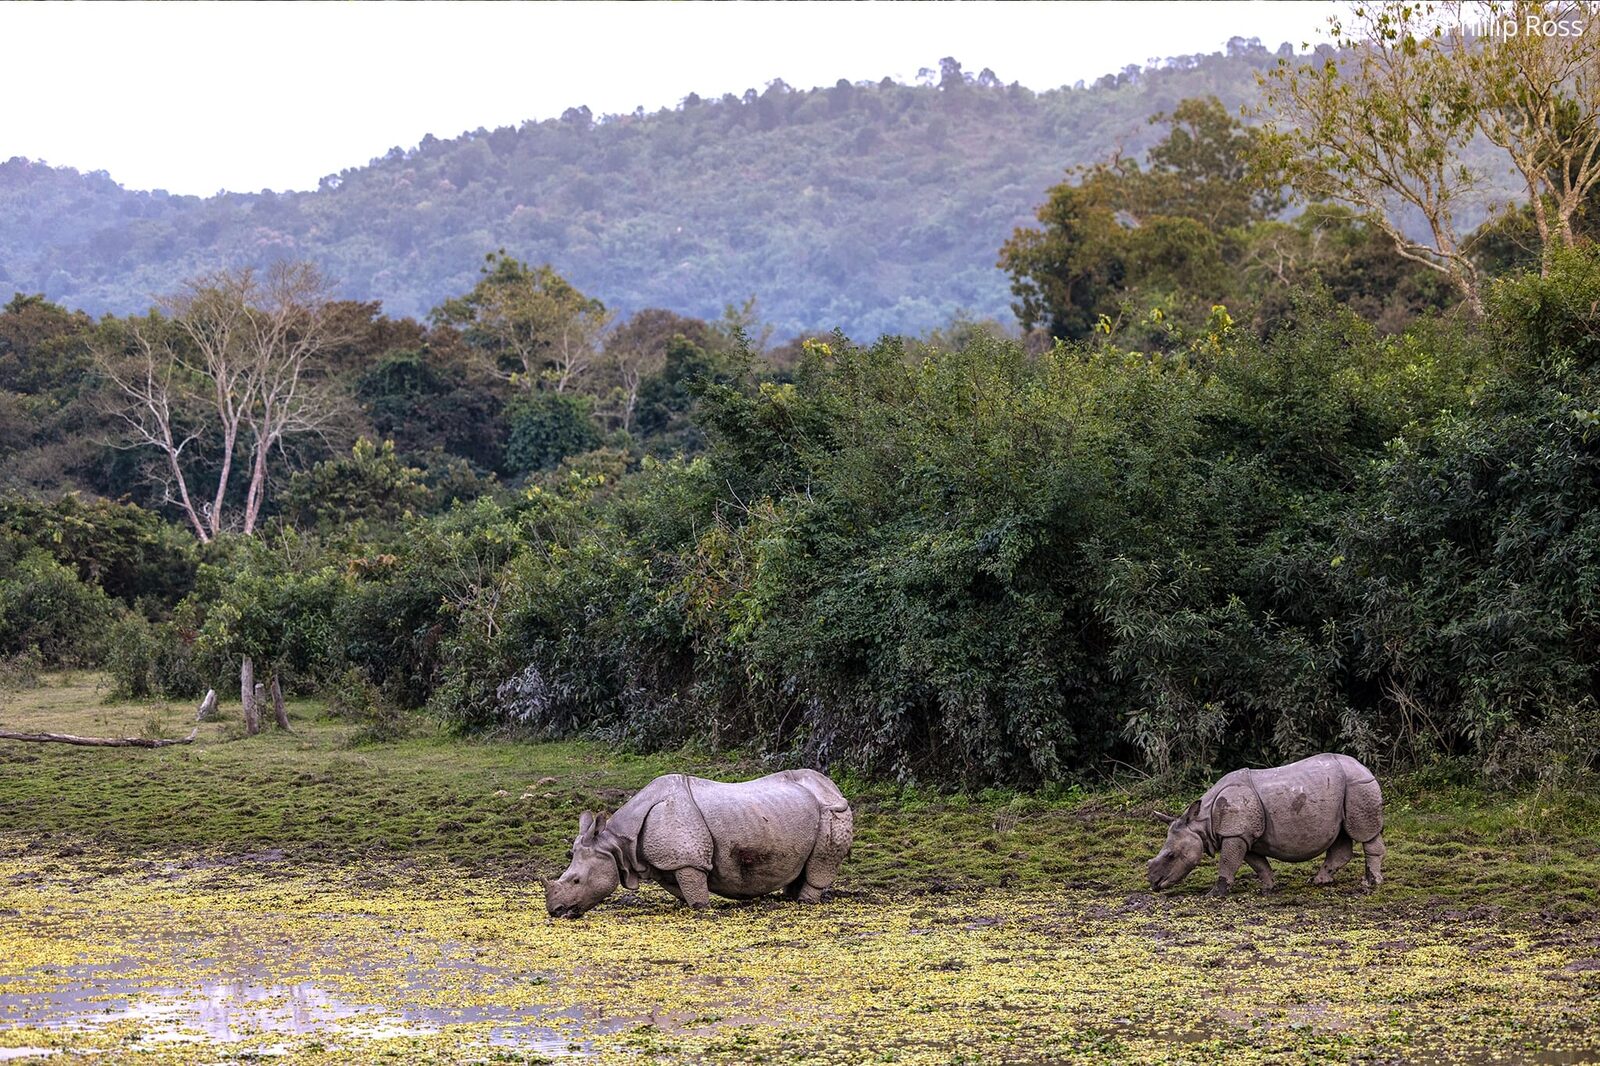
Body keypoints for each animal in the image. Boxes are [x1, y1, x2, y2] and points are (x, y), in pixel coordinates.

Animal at [544, 769, 854, 918]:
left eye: (576, 880)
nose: (555, 911)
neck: (617, 844)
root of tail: (834, 786)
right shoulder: (674, 862)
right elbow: (686, 891)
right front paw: (695, 905)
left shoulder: (687, 860)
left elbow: (695, 894)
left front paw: (702, 910)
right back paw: (788, 898)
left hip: (833, 811)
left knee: (820, 865)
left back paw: (803, 902)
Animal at [1146, 753, 1385, 897]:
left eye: (1170, 856)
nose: (1154, 883)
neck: (1202, 822)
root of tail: (1365, 767)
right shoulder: (1245, 835)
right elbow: (1257, 863)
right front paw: (1268, 887)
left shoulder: (1235, 833)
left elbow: (1228, 862)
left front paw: (1214, 894)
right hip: (1345, 790)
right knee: (1341, 837)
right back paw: (1318, 881)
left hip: (1359, 786)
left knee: (1365, 834)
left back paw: (1370, 884)